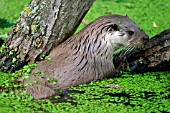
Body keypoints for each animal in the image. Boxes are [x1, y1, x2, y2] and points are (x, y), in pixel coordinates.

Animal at [21, 14, 149, 99]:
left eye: (139, 27)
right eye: (131, 32)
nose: (146, 37)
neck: (95, 44)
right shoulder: (102, 62)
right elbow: (113, 72)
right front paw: (125, 62)